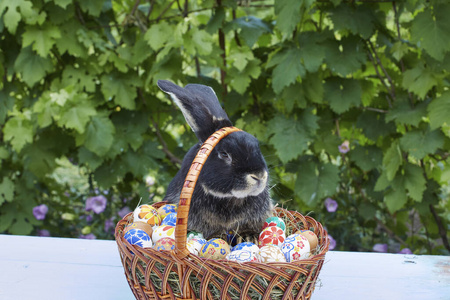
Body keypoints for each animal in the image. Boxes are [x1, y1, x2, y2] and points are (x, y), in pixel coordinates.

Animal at [156, 81, 272, 240]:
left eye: (257, 145)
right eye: (224, 154)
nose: (259, 176)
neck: (230, 198)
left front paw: (249, 236)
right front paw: (219, 238)